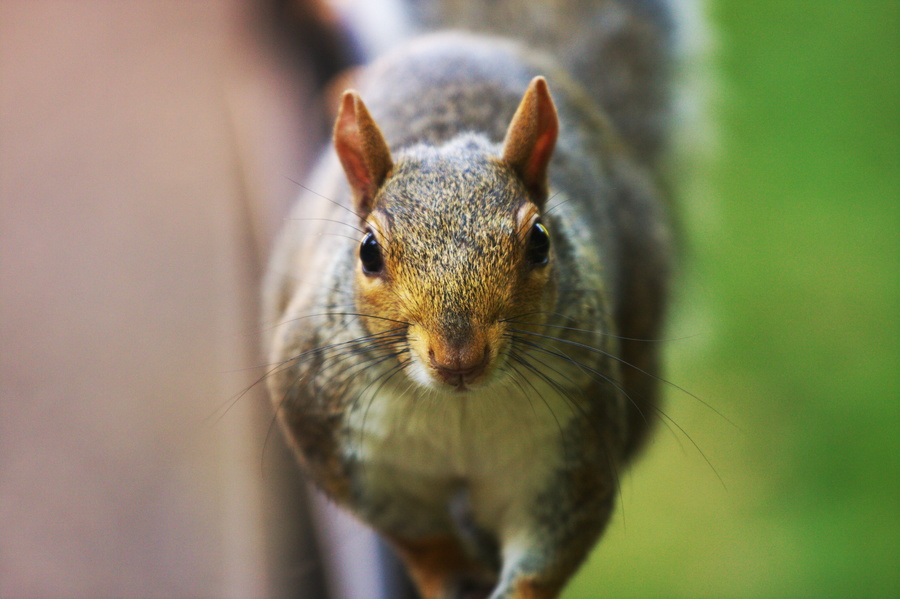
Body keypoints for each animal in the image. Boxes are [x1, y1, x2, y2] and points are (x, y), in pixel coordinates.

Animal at [263, 1, 687, 597]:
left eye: (540, 241)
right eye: (368, 251)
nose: (458, 355)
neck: (457, 407)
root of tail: (470, 41)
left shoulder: (569, 451)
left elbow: (551, 548)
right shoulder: (334, 431)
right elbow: (419, 535)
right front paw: (451, 570)